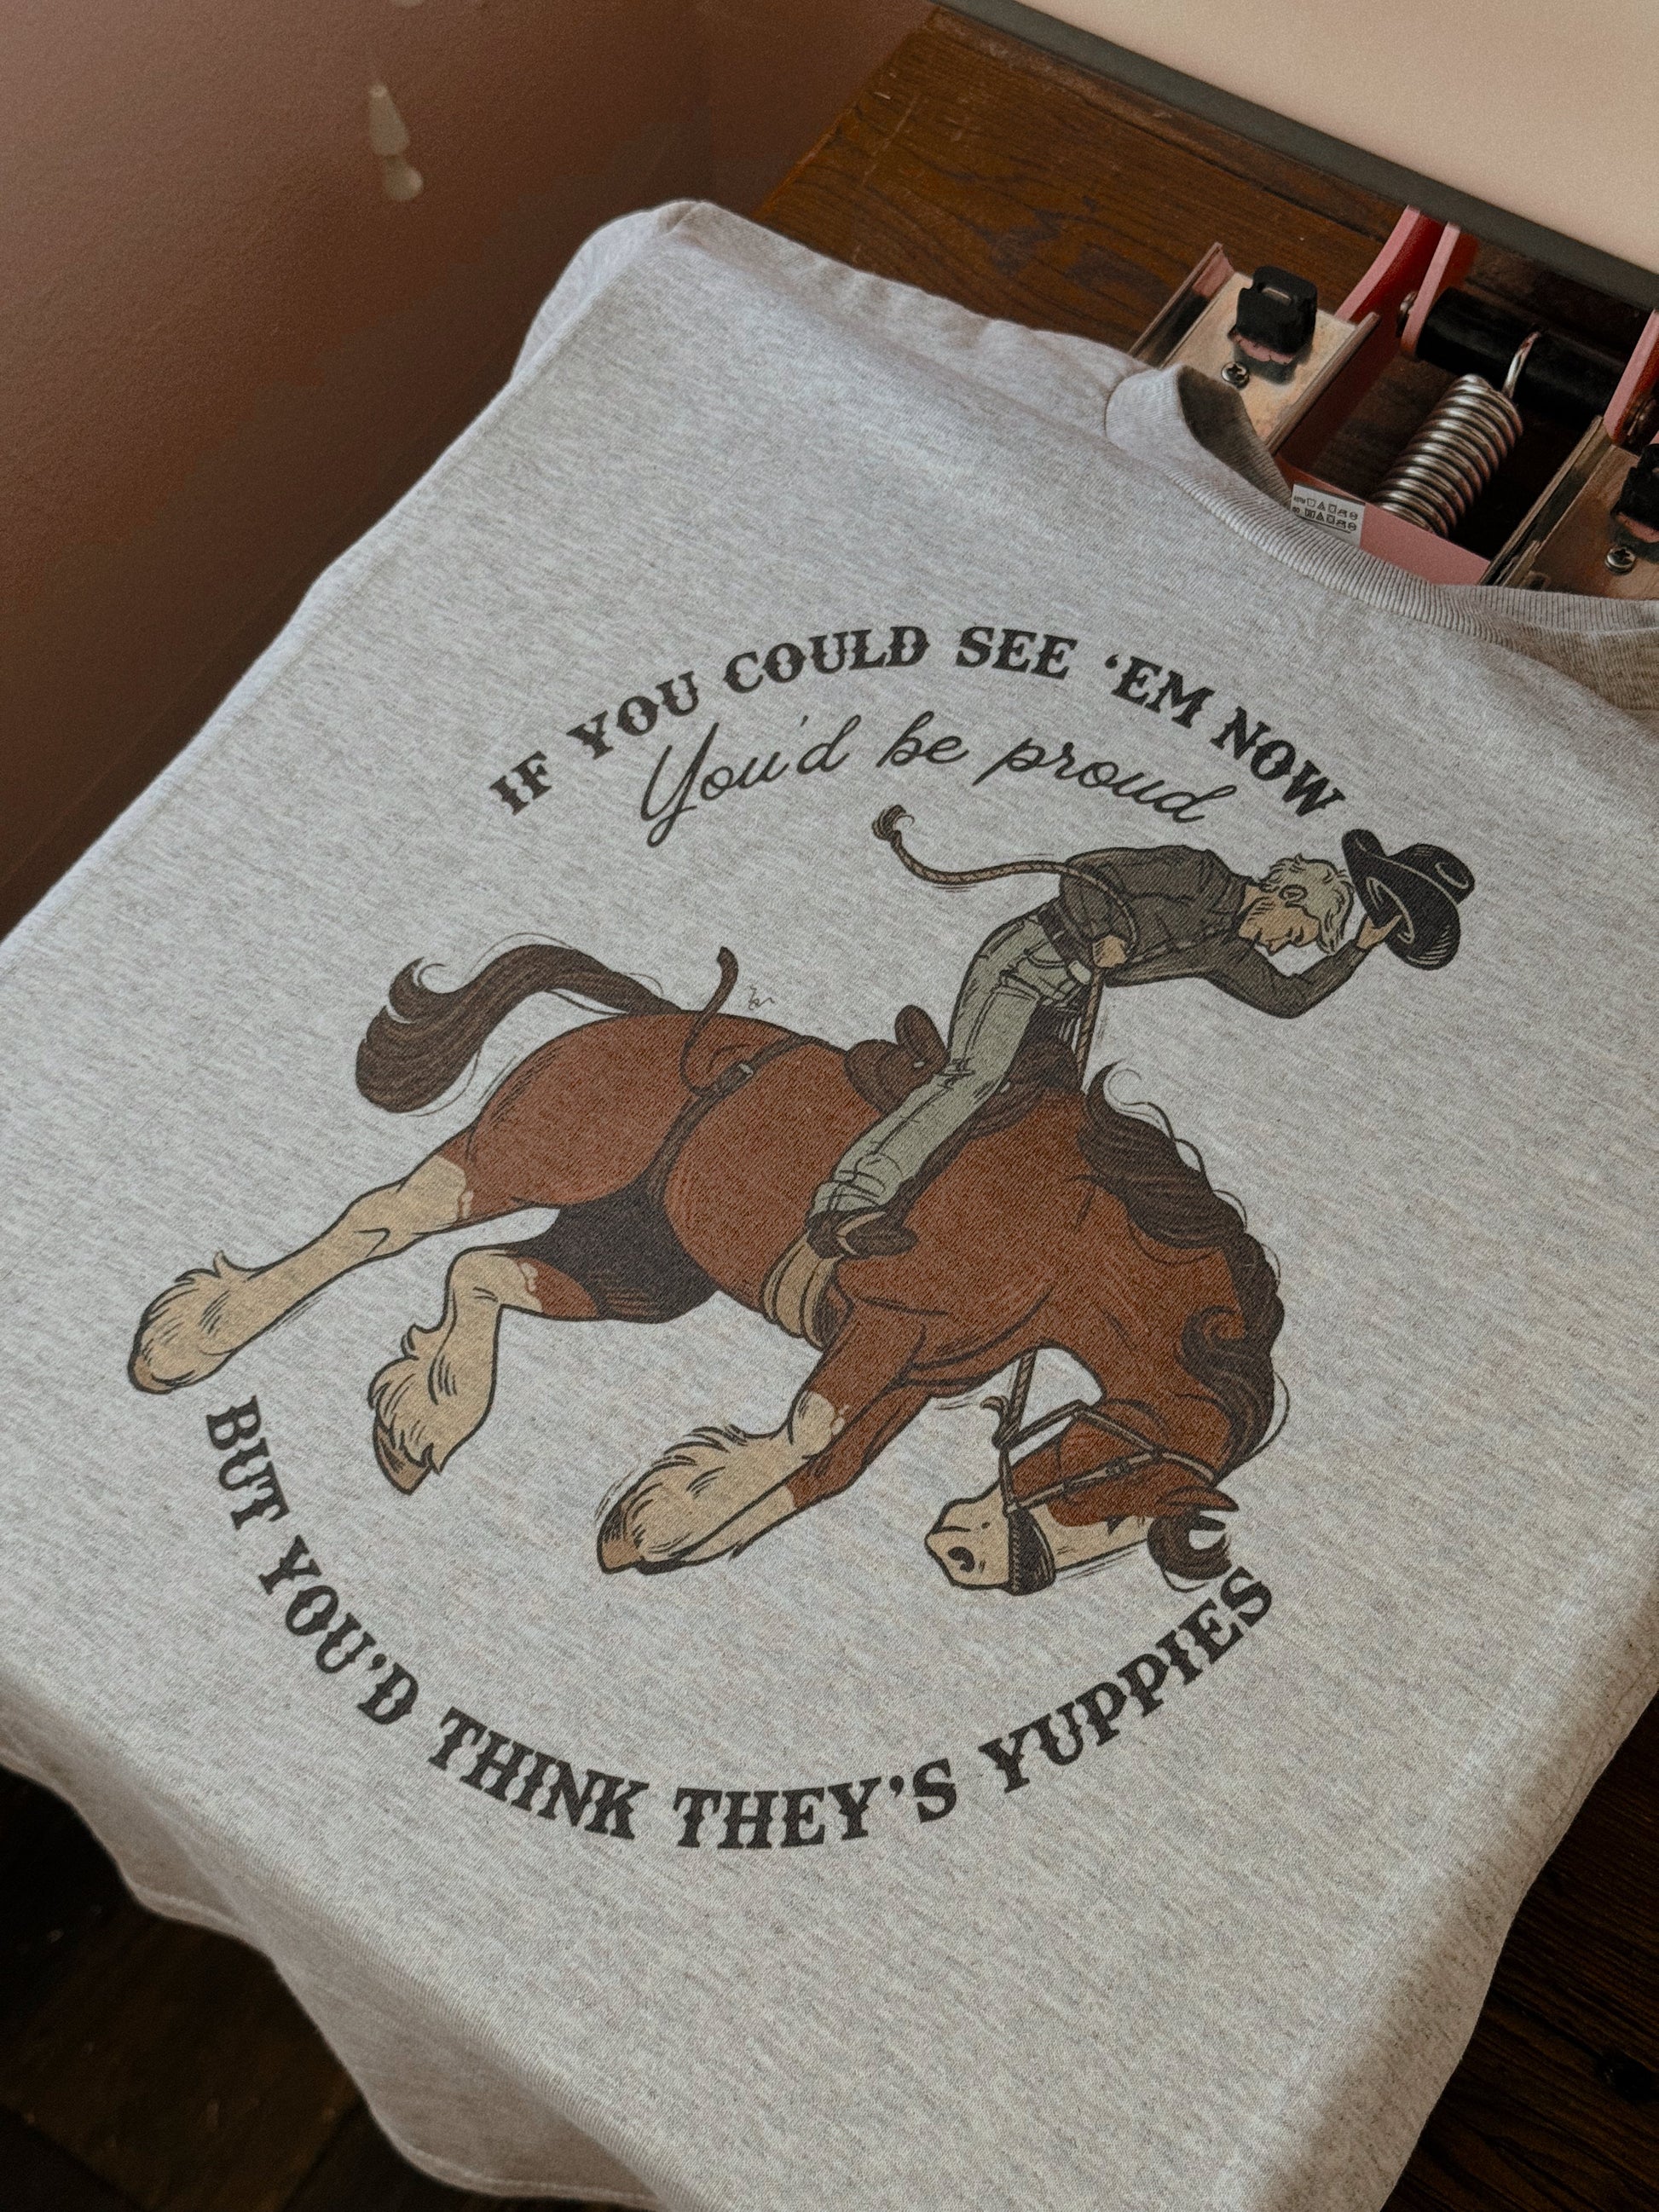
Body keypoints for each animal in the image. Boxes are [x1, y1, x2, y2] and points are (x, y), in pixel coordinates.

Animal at [128, 942, 1283, 1594]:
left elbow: (827, 1470)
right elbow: (807, 1432)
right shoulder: (882, 1325)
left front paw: (666, 1522)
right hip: (524, 1156)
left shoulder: (914, 1375)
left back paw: (431, 1409)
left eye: (1135, 1524)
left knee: (484, 1273)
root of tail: (651, 1016)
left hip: (639, 1263)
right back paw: (199, 1336)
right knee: (387, 1221)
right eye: (1108, 1476)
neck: (1070, 1230)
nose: (970, 1560)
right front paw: (687, 1503)